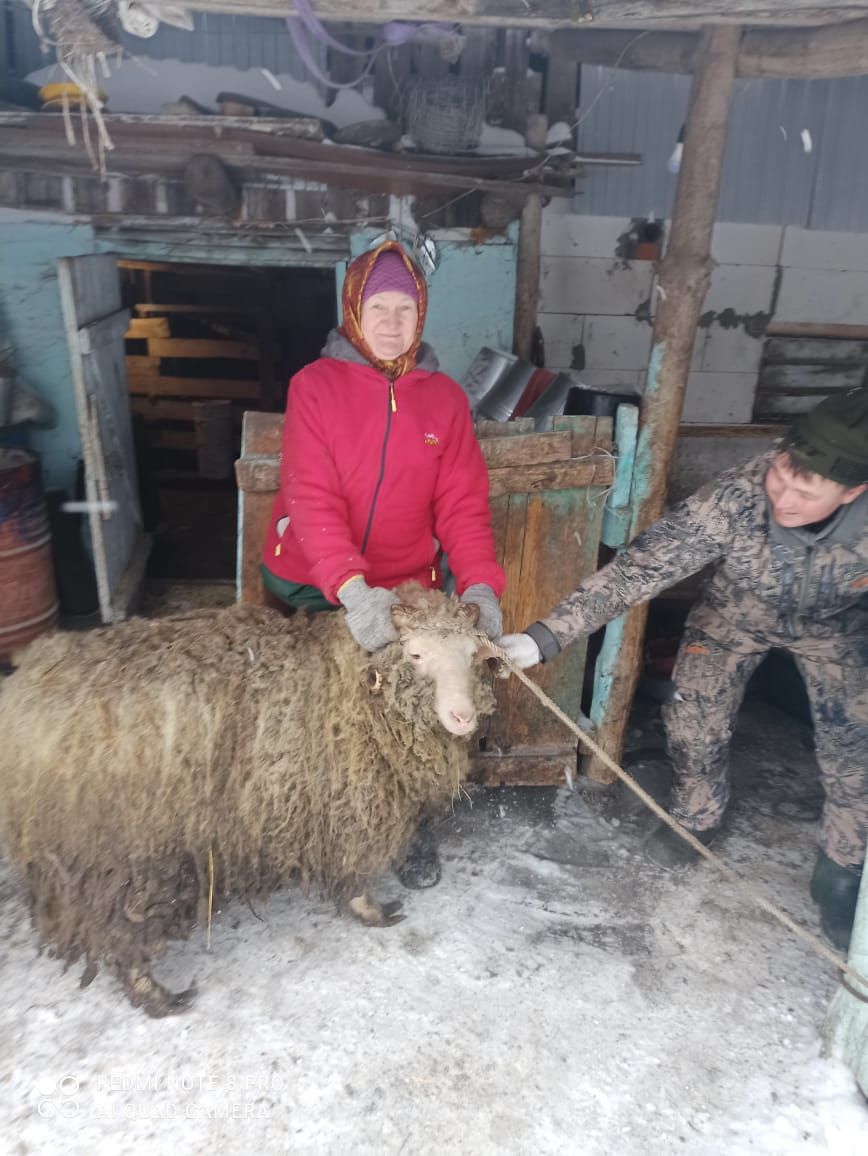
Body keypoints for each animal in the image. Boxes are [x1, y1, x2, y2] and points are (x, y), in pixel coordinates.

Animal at [0, 582, 499, 1017]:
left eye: (473, 655)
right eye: (415, 654)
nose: (463, 717)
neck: (348, 683)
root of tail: (26, 691)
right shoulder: (349, 804)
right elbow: (353, 870)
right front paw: (370, 911)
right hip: (117, 860)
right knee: (122, 932)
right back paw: (158, 995)